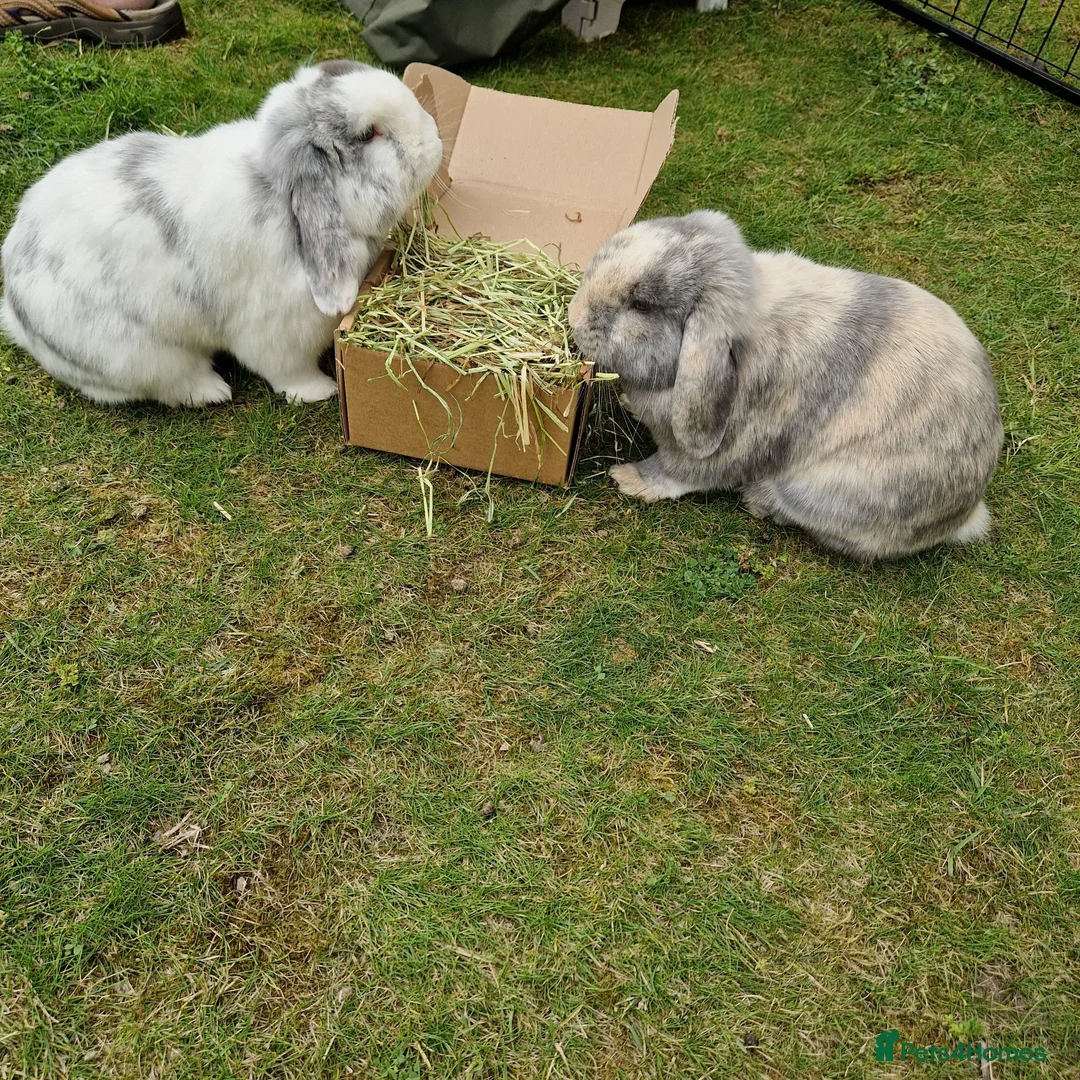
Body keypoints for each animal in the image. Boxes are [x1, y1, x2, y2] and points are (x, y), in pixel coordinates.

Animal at [0, 60, 443, 407]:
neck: (282, 200)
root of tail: (17, 310)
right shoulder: (278, 332)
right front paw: (323, 390)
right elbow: (288, 371)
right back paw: (213, 391)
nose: (435, 139)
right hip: (140, 354)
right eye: (369, 135)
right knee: (160, 385)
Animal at [568, 211, 1004, 561]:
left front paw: (626, 479)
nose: (574, 316)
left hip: (821, 493)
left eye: (640, 305)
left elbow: (675, 473)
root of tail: (966, 512)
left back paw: (759, 500)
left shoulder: (718, 449)